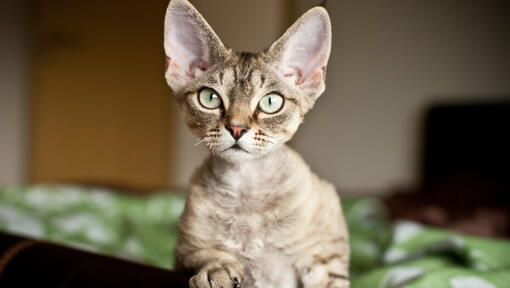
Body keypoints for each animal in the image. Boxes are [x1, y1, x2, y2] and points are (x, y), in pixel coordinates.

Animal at [163, 0, 350, 288]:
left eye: (271, 102)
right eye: (209, 98)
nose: (237, 128)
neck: (245, 194)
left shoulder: (326, 254)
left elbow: (329, 281)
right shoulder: (183, 251)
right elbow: (205, 253)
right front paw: (217, 268)